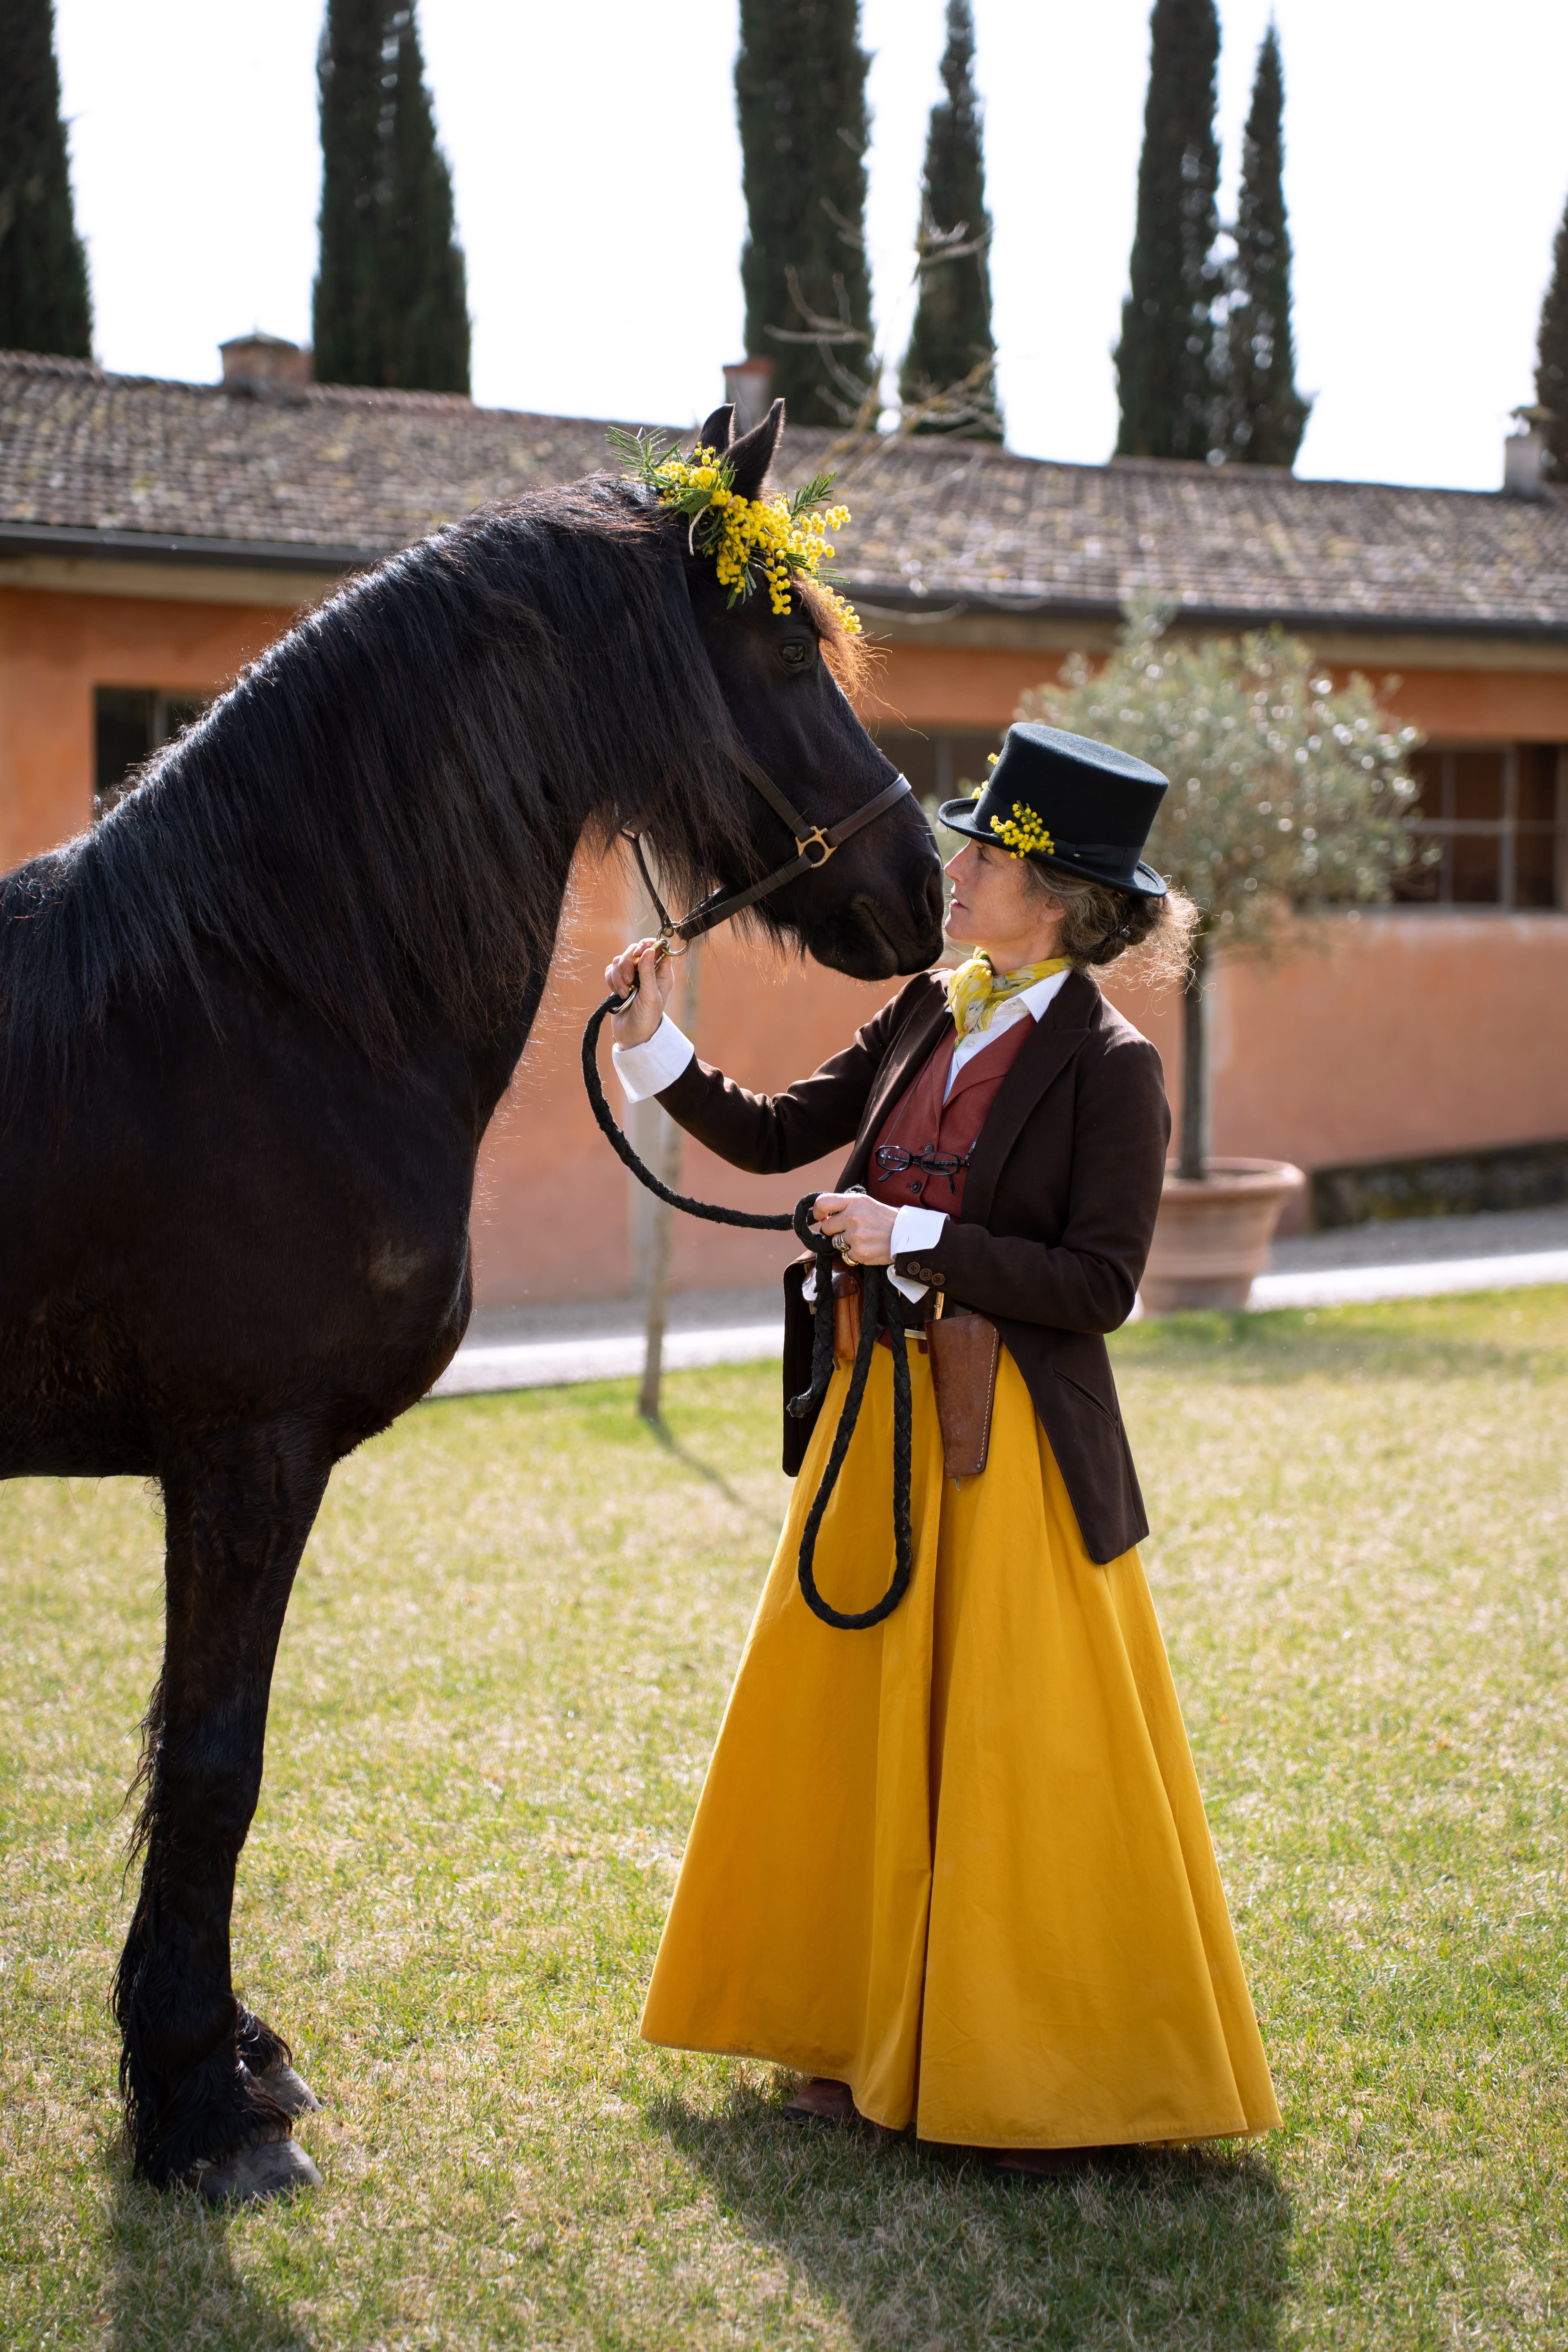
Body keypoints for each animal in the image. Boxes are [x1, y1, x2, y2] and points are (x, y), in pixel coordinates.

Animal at [0, 397, 945, 2201]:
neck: (257, 1004)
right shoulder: (245, 1452)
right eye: (793, 651)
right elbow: (213, 1762)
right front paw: (198, 2099)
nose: (923, 895)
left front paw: (226, 2054)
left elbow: (207, 1755)